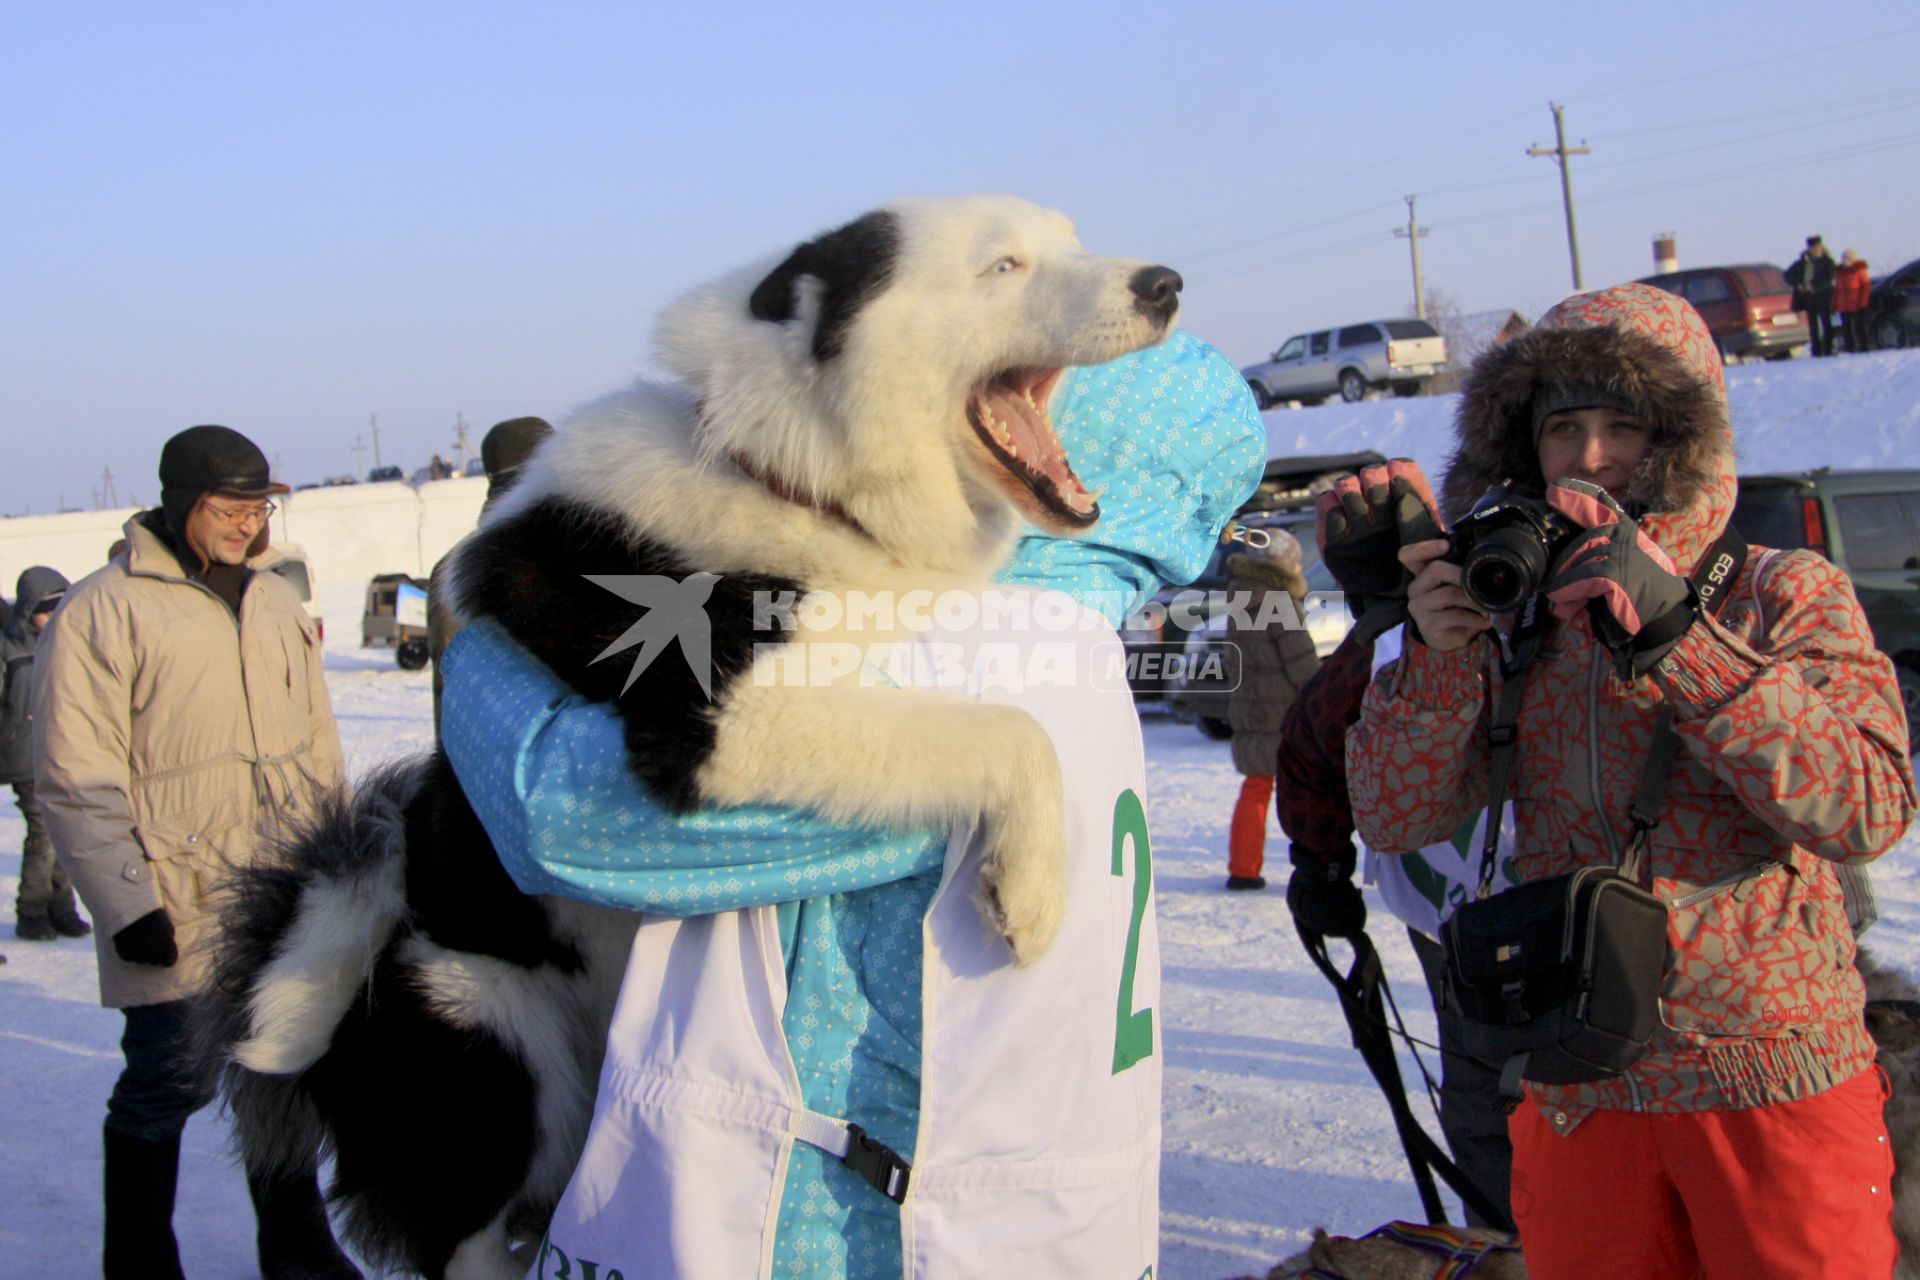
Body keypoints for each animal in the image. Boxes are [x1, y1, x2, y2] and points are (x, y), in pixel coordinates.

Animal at [198, 197, 1182, 1280]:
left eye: (1070, 242)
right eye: (1002, 265)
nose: (1165, 283)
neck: (794, 479)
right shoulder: (724, 719)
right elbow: (1013, 731)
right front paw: (1033, 891)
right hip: (494, 1056)